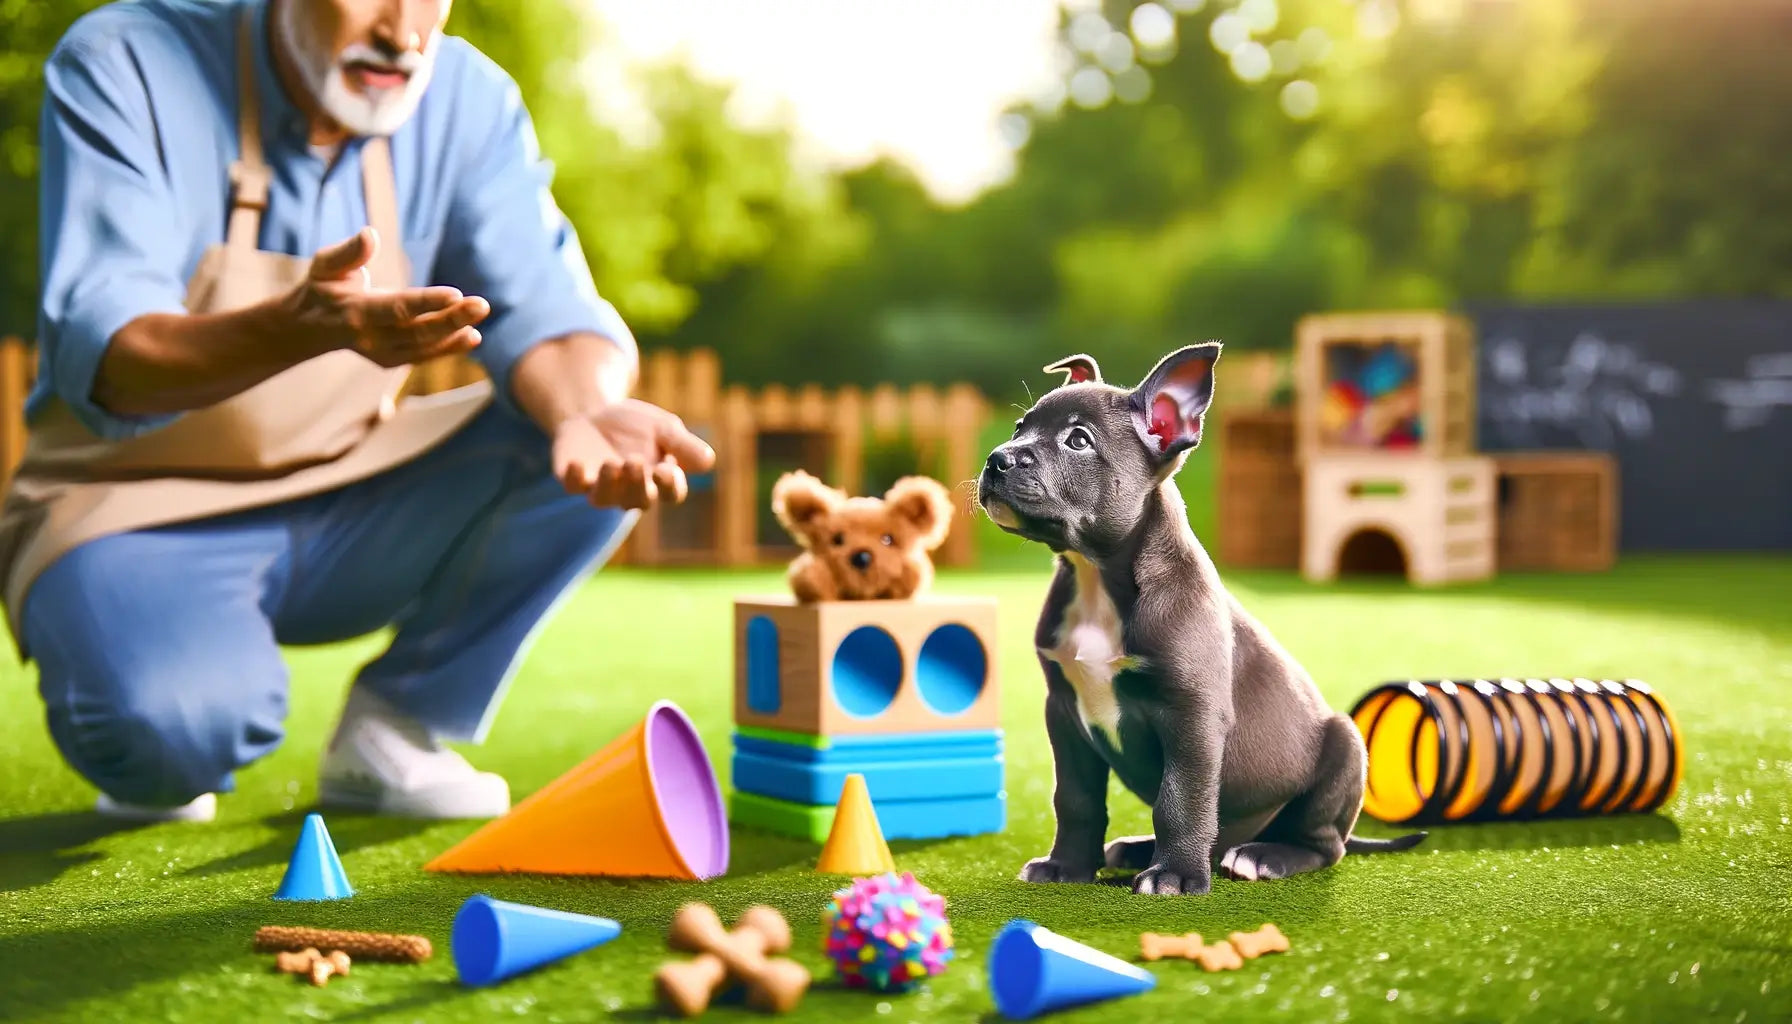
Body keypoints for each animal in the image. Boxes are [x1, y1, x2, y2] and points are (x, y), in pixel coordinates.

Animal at [974, 344, 1419, 896]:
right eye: (1020, 427)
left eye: (1078, 440)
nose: (997, 459)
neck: (1098, 576)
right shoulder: (1064, 711)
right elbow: (1075, 798)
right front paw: (1067, 866)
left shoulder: (1193, 715)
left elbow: (1181, 798)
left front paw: (1175, 875)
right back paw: (1137, 849)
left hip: (1346, 745)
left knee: (1322, 845)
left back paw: (1262, 856)